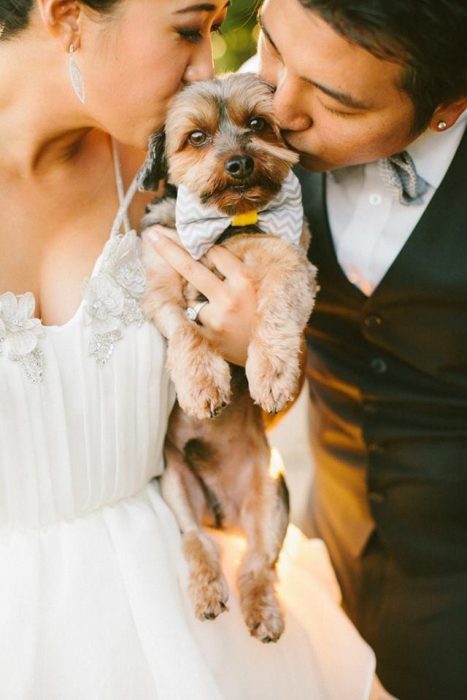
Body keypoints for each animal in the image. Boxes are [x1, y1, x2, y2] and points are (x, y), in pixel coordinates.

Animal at [141, 74, 320, 644]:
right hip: (177, 487)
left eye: (258, 123)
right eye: (196, 137)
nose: (239, 162)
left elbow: (277, 315)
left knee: (259, 564)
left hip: (272, 496)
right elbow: (184, 331)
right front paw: (203, 386)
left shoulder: (291, 264)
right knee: (195, 541)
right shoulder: (160, 284)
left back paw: (262, 611)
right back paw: (205, 590)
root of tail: (224, 515)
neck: (228, 224)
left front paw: (271, 375)